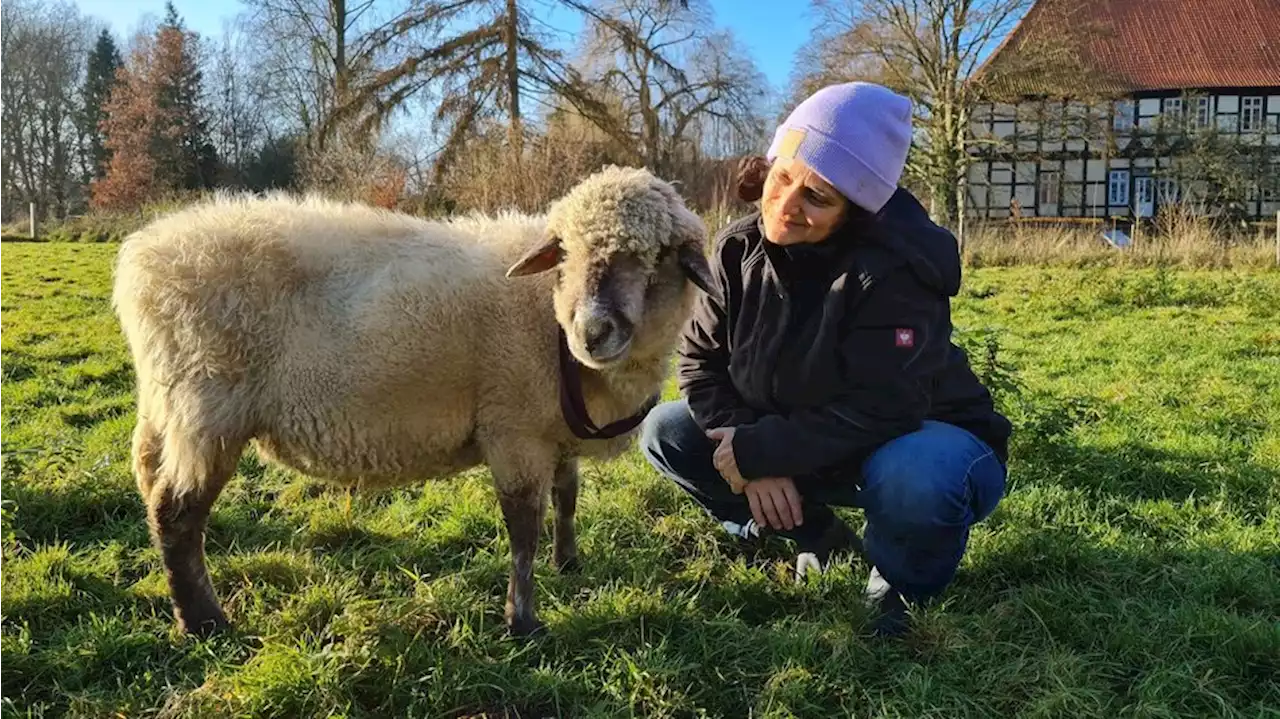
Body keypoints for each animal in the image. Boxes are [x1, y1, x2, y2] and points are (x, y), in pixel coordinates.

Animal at [112, 165, 721, 634]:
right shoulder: (513, 427)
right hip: (207, 409)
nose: (592, 332)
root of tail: (142, 259)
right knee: (176, 513)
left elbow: (568, 495)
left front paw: (568, 562)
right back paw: (204, 622)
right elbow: (523, 527)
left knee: (150, 485)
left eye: (658, 256)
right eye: (564, 253)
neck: (546, 313)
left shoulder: (553, 427)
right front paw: (523, 621)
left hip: (166, 407)